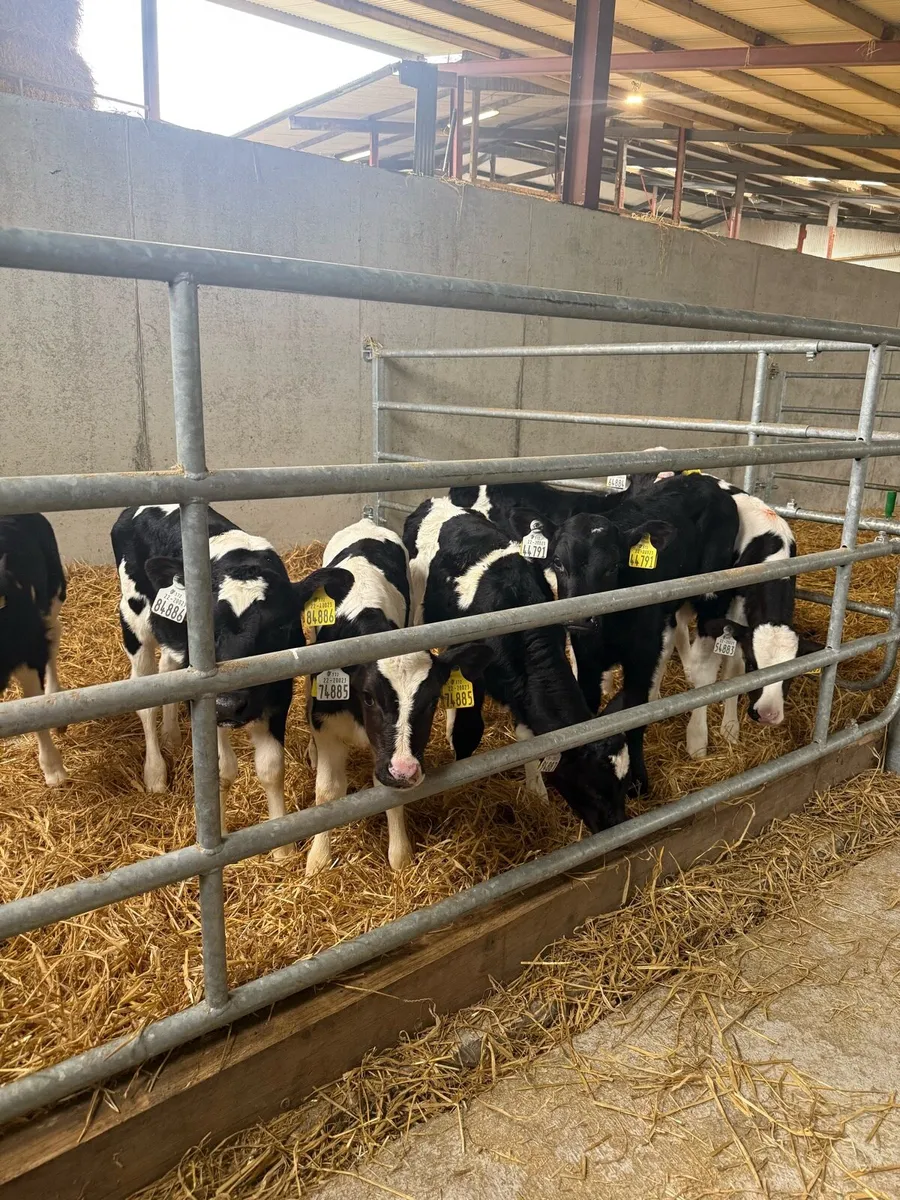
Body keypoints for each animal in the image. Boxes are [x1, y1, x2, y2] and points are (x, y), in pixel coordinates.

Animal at [111, 504, 305, 857]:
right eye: (207, 624)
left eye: (280, 627)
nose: (229, 703)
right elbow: (221, 769)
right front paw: (220, 833)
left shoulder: (279, 692)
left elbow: (271, 767)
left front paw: (281, 846)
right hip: (134, 619)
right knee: (145, 698)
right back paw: (155, 772)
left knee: (168, 670)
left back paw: (172, 735)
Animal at [295, 517, 490, 876]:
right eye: (369, 696)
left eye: (432, 701)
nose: (405, 770)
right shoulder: (326, 723)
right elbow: (327, 794)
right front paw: (318, 860)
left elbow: (387, 793)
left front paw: (400, 856)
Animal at [403, 498, 633, 833]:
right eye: (593, 786)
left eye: (624, 784)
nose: (618, 826)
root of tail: (434, 501)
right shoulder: (475, 672)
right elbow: (468, 731)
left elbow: (527, 737)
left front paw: (537, 793)